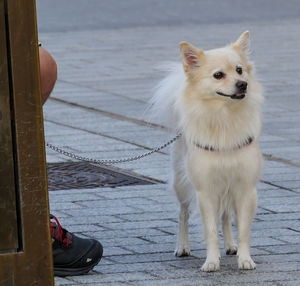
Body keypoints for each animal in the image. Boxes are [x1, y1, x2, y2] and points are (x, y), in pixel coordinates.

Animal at [150, 32, 262, 272]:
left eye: (240, 70)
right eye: (218, 75)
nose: (243, 84)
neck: (225, 116)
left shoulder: (245, 189)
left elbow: (243, 230)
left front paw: (245, 258)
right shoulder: (207, 190)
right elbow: (210, 230)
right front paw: (211, 261)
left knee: (226, 216)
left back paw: (229, 245)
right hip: (182, 184)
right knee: (183, 213)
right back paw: (182, 246)